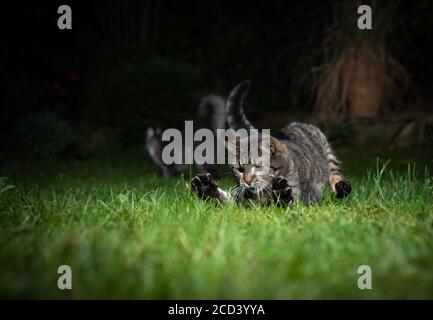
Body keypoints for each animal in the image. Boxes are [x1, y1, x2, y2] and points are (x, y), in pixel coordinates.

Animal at [191, 81, 350, 206]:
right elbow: (223, 199)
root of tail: (297, 123)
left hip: (328, 154)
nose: (247, 181)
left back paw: (342, 188)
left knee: (335, 174)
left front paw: (281, 192)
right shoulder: (240, 200)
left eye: (258, 167)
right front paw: (205, 187)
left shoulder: (296, 199)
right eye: (240, 170)